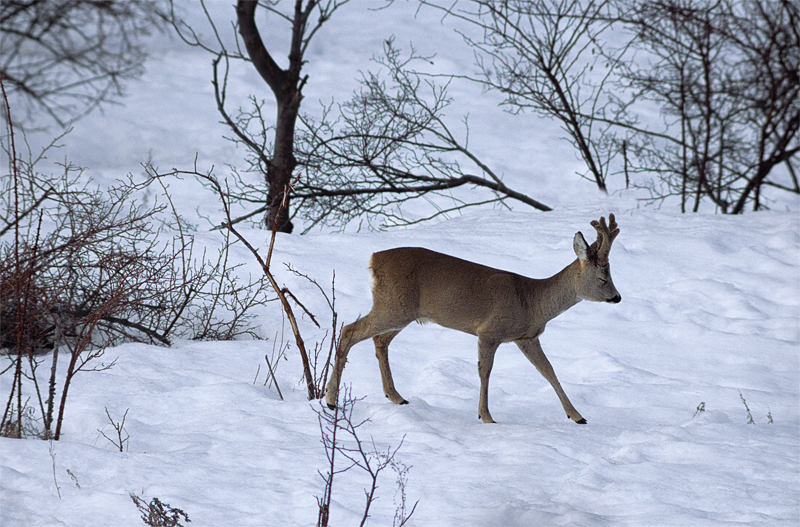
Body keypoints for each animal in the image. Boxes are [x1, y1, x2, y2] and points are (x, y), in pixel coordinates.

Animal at [322, 214, 620, 424]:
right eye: (602, 278)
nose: (617, 297)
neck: (531, 300)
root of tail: (374, 260)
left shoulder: (526, 337)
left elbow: (549, 371)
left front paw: (577, 416)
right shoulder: (490, 331)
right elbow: (485, 371)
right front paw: (486, 416)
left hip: (404, 312)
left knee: (379, 340)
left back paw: (396, 397)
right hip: (393, 306)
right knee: (349, 330)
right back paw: (331, 399)